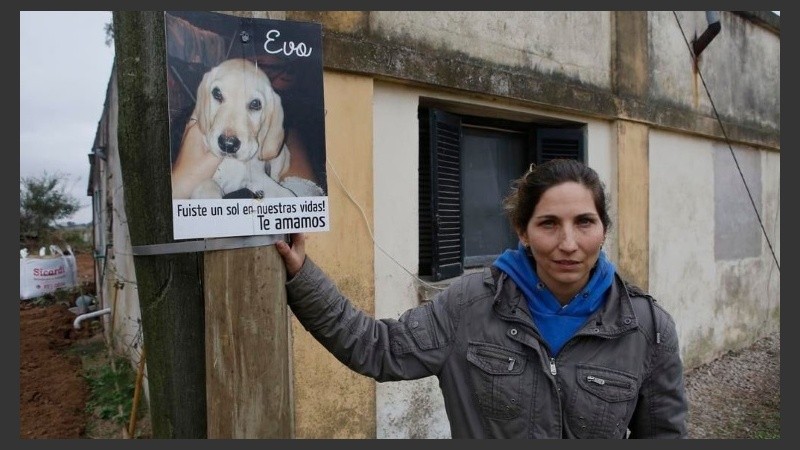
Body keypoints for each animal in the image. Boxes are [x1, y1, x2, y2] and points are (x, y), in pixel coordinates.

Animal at [171, 58, 294, 199]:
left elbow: (286, 193)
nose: (228, 144)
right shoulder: (204, 180)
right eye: (217, 93)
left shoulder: (257, 177)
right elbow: (208, 186)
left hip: (281, 154)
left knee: (275, 175)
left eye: (255, 104)